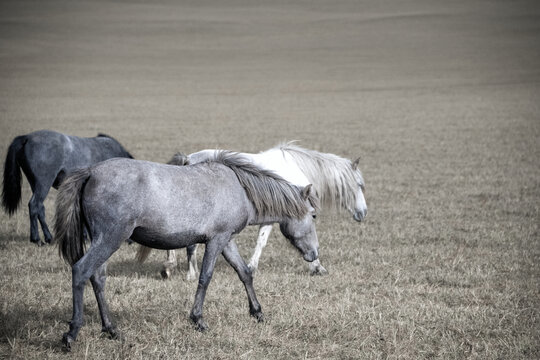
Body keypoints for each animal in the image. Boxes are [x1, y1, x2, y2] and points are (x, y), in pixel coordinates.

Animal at [2, 129, 133, 245]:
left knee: (40, 208)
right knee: (34, 205)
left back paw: (49, 238)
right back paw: (37, 239)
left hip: (35, 184)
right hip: (43, 184)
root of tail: (27, 137)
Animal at [53, 153, 320, 352]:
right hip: (110, 239)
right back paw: (72, 333)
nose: (314, 254)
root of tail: (91, 171)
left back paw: (111, 329)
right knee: (81, 271)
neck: (240, 188)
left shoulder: (227, 241)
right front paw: (198, 320)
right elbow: (205, 277)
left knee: (98, 279)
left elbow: (244, 273)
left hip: (103, 241)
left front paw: (257, 312)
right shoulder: (216, 241)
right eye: (314, 215)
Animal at [165, 143, 368, 278]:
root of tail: (188, 159)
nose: (363, 213)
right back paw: (189, 272)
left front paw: (251, 266)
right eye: (359, 185)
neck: (294, 169)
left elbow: (261, 241)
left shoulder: (272, 216)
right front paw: (318, 267)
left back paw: (169, 267)